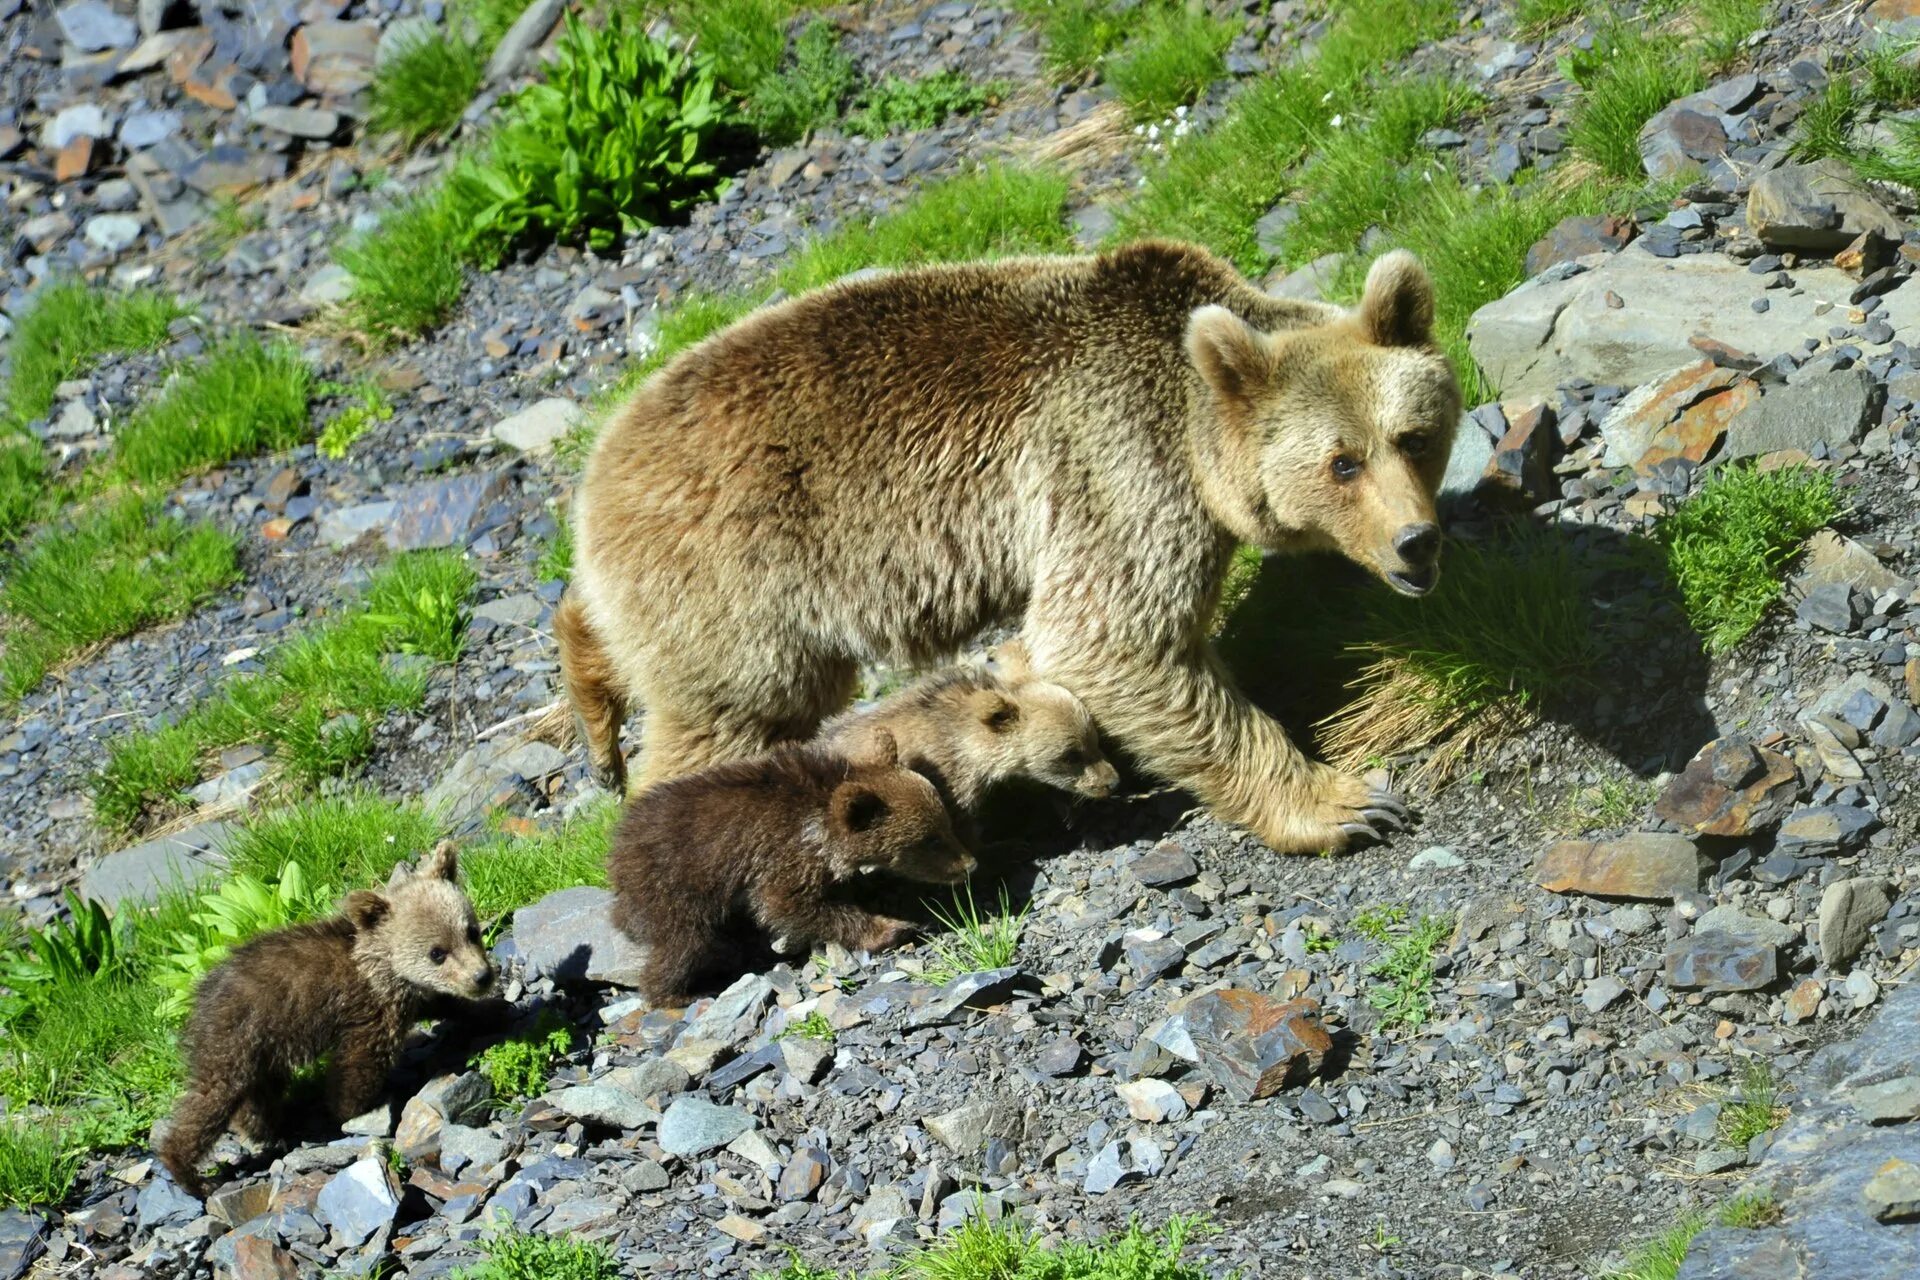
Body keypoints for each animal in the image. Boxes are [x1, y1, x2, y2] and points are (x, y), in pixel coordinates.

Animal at [156, 844, 491, 1197]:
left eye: (470, 931)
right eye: (436, 952)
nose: (482, 976)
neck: (382, 968)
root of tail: (198, 996)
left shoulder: (408, 996)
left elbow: (443, 1003)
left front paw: (489, 1010)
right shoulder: (370, 1011)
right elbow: (357, 1064)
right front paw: (354, 1109)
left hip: (263, 1050)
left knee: (258, 1095)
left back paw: (265, 1128)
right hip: (236, 1039)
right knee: (210, 1100)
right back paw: (190, 1173)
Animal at [606, 725, 975, 1005]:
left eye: (945, 824)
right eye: (930, 840)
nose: (969, 864)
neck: (819, 824)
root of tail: (616, 854)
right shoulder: (782, 853)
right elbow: (785, 904)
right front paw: (890, 927)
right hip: (670, 887)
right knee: (682, 943)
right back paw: (678, 993)